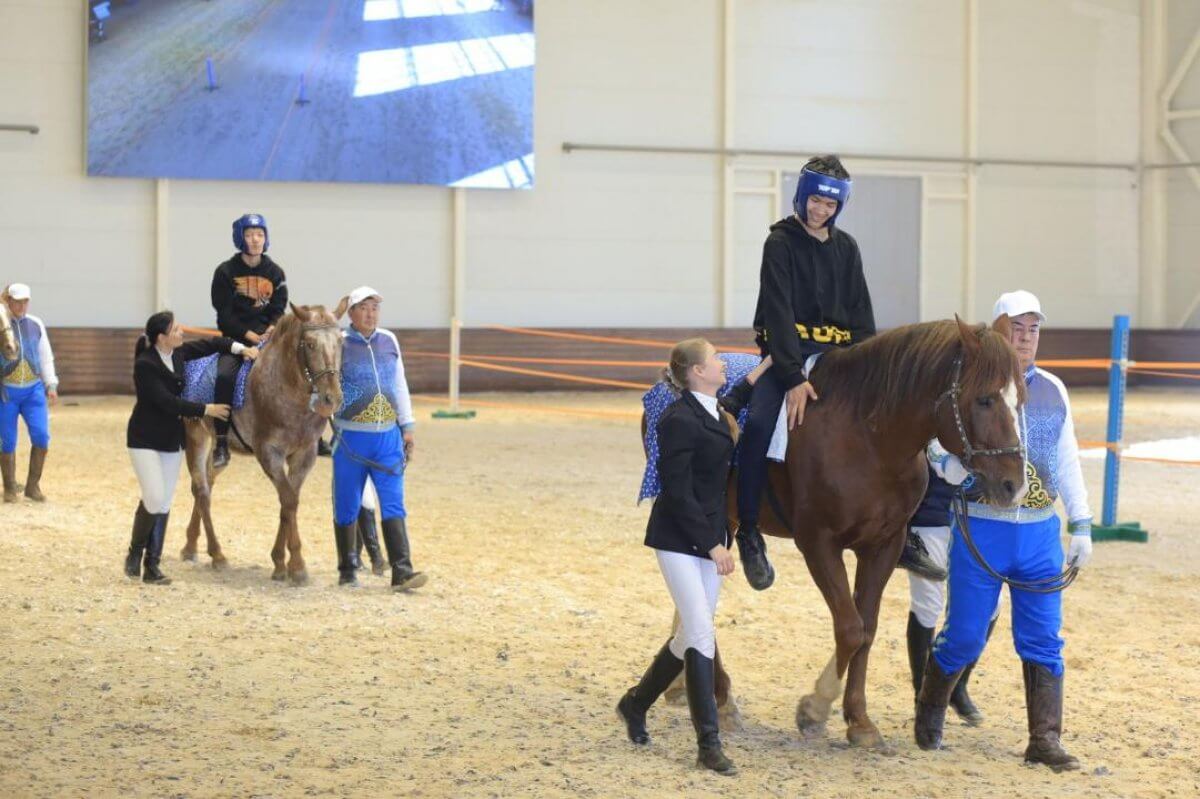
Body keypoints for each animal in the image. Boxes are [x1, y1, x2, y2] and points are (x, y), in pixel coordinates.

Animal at [180, 302, 348, 583]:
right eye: (310, 344)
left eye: (340, 342)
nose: (331, 399)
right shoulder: (269, 453)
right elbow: (288, 500)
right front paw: (296, 566)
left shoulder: (305, 455)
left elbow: (289, 501)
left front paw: (281, 563)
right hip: (196, 435)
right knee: (201, 491)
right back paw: (217, 555)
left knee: (205, 486)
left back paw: (191, 547)